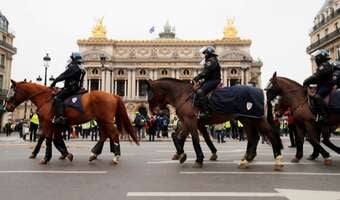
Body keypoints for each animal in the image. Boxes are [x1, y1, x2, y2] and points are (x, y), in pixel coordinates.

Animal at [4, 80, 138, 164]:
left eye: (12, 92)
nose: (6, 107)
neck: (46, 98)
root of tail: (114, 95)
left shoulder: (48, 122)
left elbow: (47, 138)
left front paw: (46, 158)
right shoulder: (55, 123)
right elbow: (54, 139)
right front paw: (65, 154)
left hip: (106, 120)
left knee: (113, 134)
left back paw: (115, 156)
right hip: (101, 120)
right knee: (105, 135)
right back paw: (94, 154)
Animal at [146, 78, 284, 170]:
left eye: (150, 94)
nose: (154, 112)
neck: (184, 95)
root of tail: (263, 93)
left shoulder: (191, 121)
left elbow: (194, 139)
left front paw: (198, 159)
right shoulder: (190, 121)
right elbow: (179, 136)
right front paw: (181, 154)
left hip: (255, 119)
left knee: (270, 134)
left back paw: (277, 161)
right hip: (247, 119)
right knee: (254, 137)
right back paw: (247, 159)